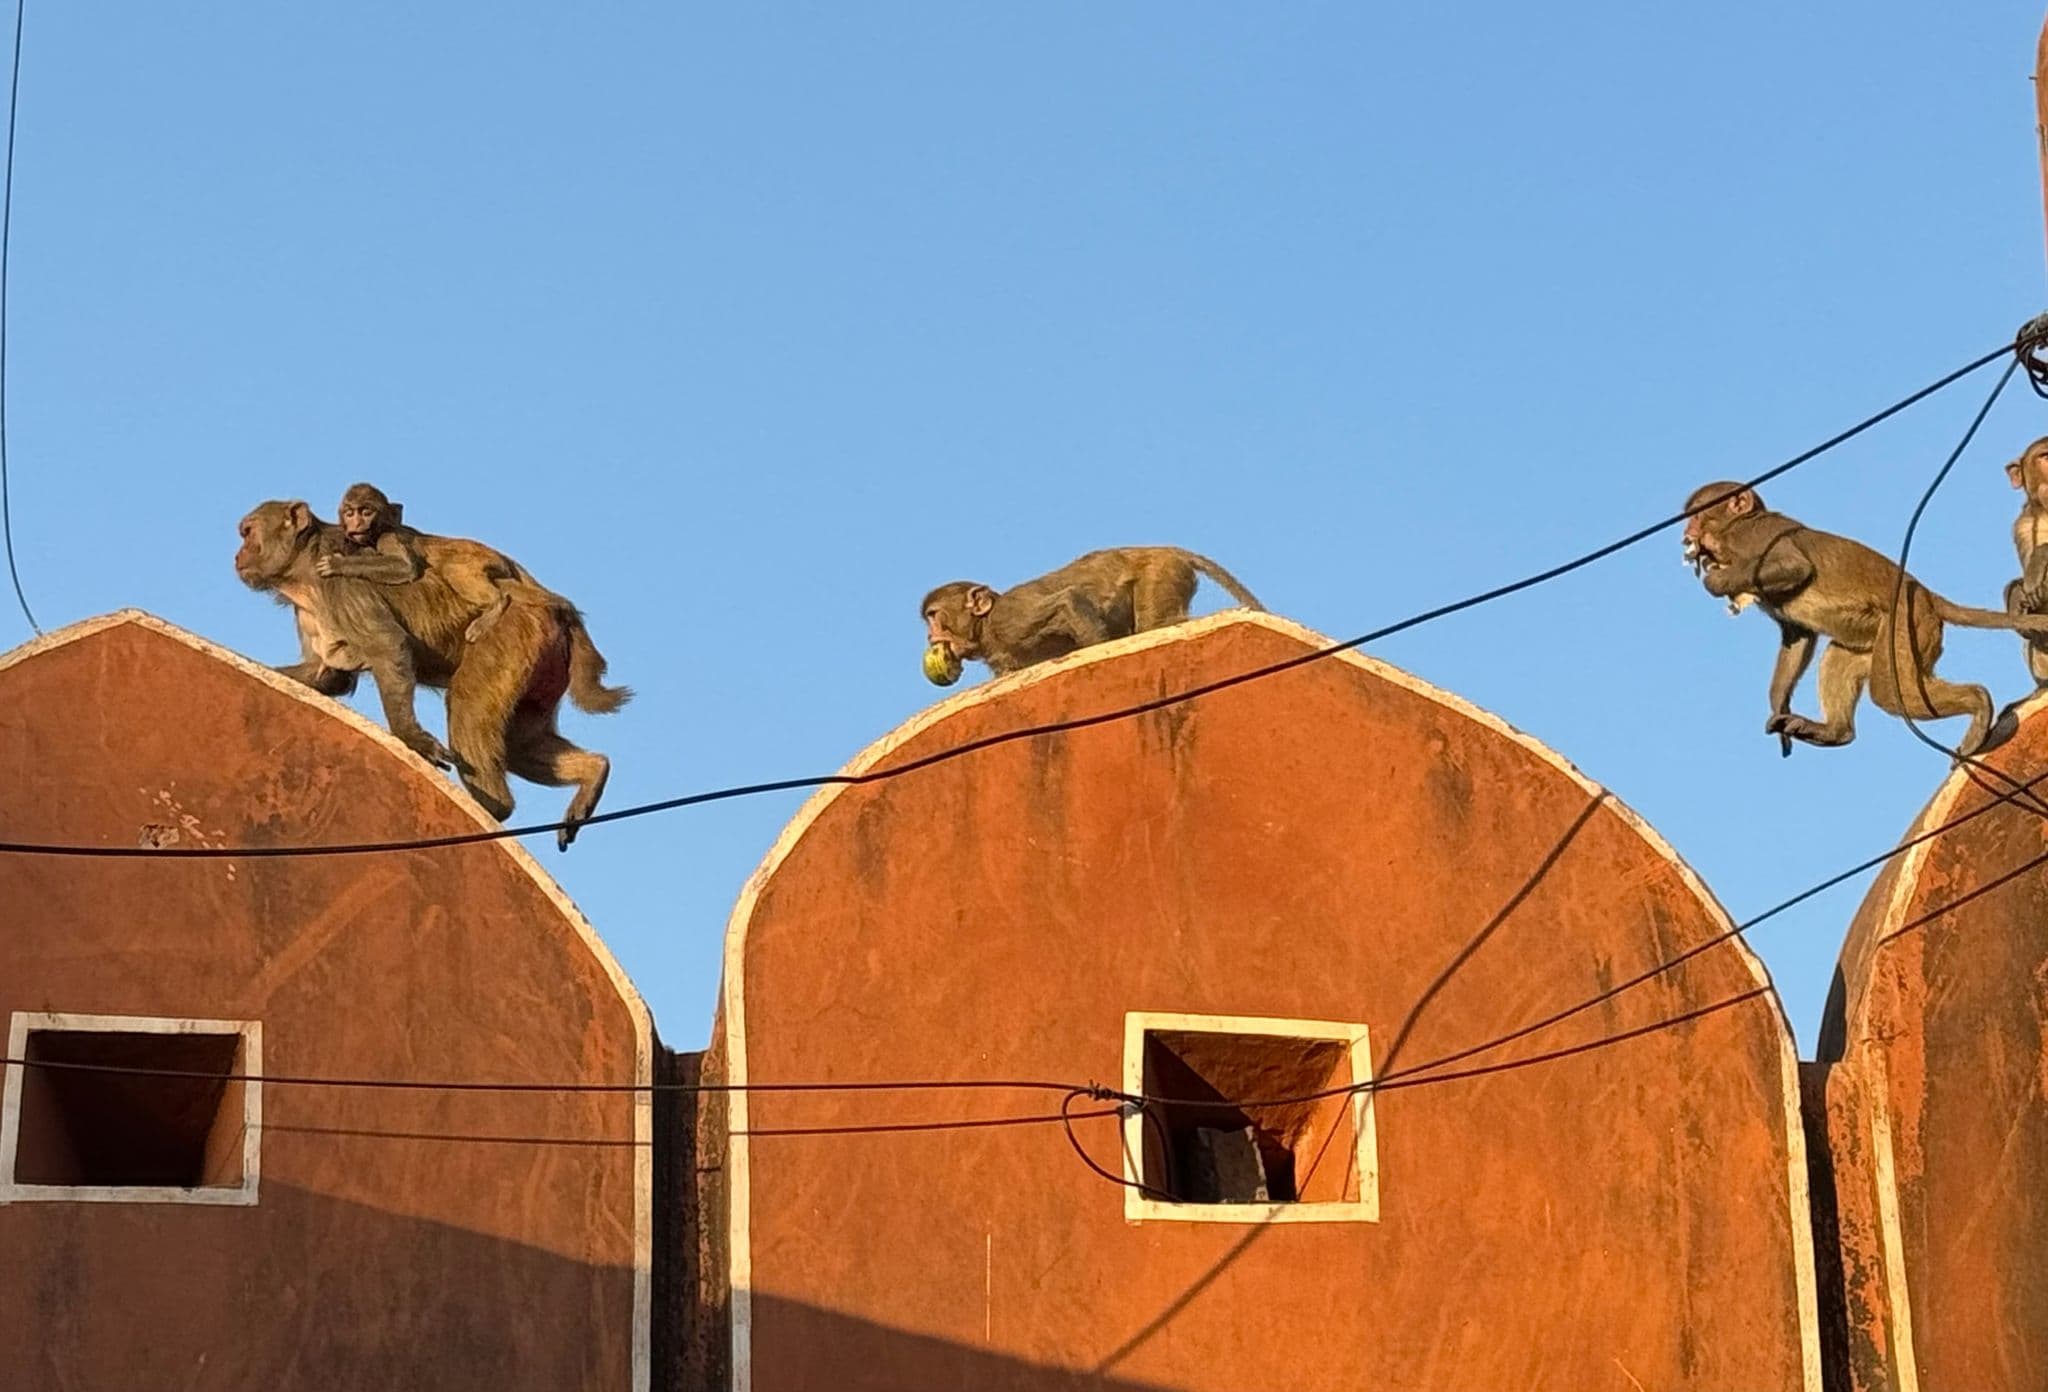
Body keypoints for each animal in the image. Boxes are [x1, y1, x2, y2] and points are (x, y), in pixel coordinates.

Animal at [235, 500, 630, 849]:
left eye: (248, 532)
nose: (238, 555)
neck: (302, 568)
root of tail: (550, 607)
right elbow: (327, 676)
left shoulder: (336, 582)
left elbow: (389, 647)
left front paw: (412, 738)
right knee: (521, 742)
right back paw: (593, 771)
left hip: (508, 635)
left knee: (469, 711)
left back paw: (494, 809)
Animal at [921, 546, 1262, 678]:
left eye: (935, 617)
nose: (929, 636)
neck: (986, 626)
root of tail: (1164, 549)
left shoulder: (1010, 619)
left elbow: (1068, 601)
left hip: (1161, 574)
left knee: (1153, 623)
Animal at [1681, 481, 2048, 759]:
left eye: (1698, 515)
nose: (1688, 532)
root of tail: (1927, 596)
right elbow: (1798, 635)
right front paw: (1777, 704)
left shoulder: (1753, 537)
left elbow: (1792, 566)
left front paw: (1716, 581)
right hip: (1884, 636)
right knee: (1840, 657)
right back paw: (1835, 732)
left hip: (1907, 625)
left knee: (1889, 691)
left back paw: (1979, 700)